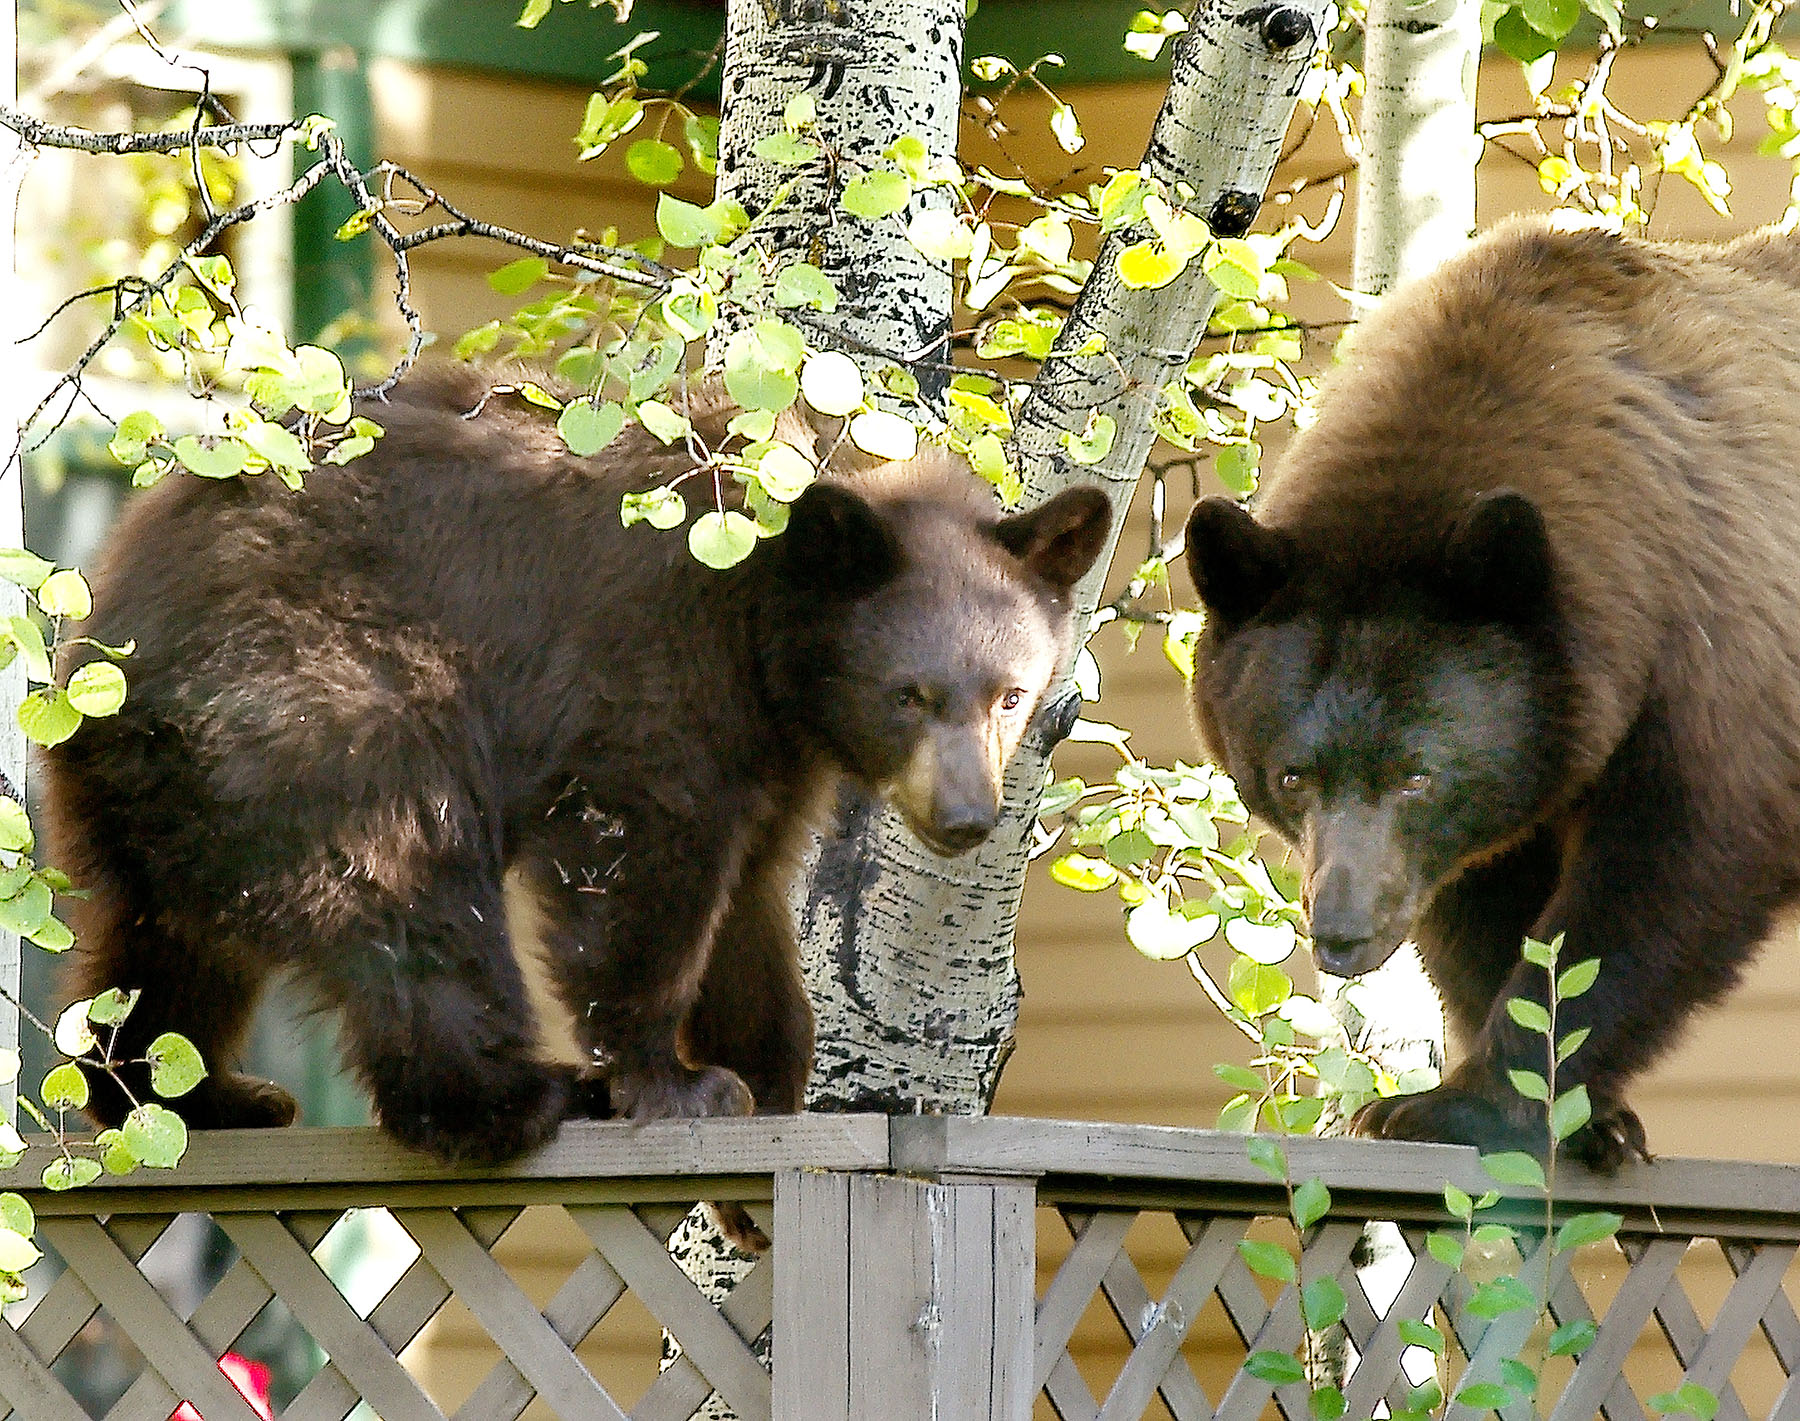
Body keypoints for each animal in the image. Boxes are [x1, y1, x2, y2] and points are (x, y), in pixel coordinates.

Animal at [46, 363, 1110, 1166]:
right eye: (911, 694)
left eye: (1010, 693)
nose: (967, 815)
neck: (763, 614)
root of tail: (105, 640)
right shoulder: (653, 660)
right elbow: (642, 853)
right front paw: (673, 1081)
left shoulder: (769, 748)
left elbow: (749, 895)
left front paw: (763, 1082)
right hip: (316, 702)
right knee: (406, 883)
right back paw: (514, 1096)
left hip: (178, 792)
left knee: (168, 943)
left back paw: (185, 1092)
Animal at [1184, 215, 1800, 1170]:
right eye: (1291, 776)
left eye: (1416, 773)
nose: (1341, 931)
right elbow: (1481, 908)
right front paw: (1587, 1118)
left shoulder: (1715, 644)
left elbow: (1665, 873)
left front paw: (1455, 1105)